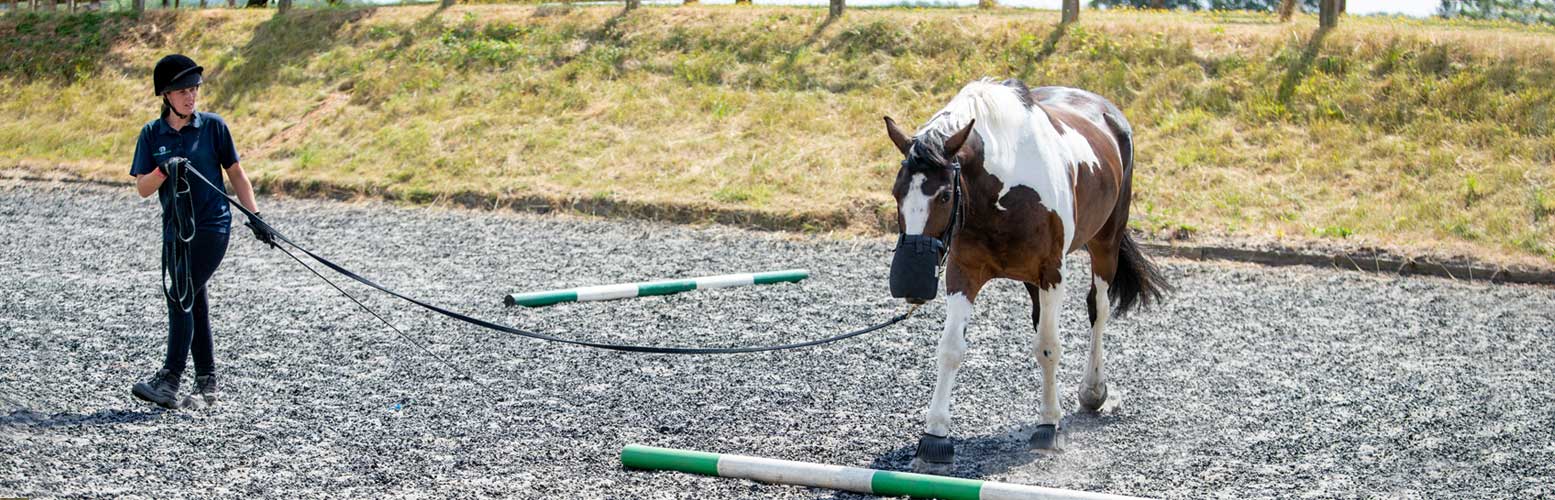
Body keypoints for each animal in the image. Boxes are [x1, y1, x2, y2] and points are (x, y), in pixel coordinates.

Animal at [889, 78, 1169, 468]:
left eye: (944, 196)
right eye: (896, 193)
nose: (911, 284)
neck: (1003, 188)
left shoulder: (1052, 272)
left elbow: (1049, 347)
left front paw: (1048, 427)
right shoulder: (963, 272)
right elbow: (951, 348)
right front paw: (935, 434)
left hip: (1105, 245)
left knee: (1097, 310)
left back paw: (1093, 391)